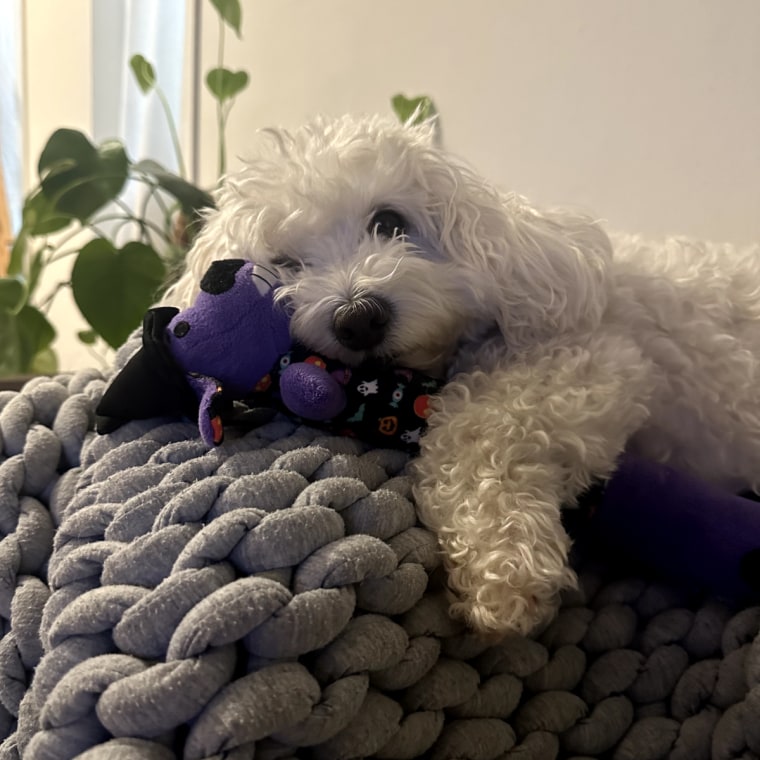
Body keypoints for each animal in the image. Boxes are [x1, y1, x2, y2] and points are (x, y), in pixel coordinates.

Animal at [169, 113, 760, 636]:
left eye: (390, 223)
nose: (357, 319)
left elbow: (479, 425)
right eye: (286, 264)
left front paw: (505, 572)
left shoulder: (598, 357)